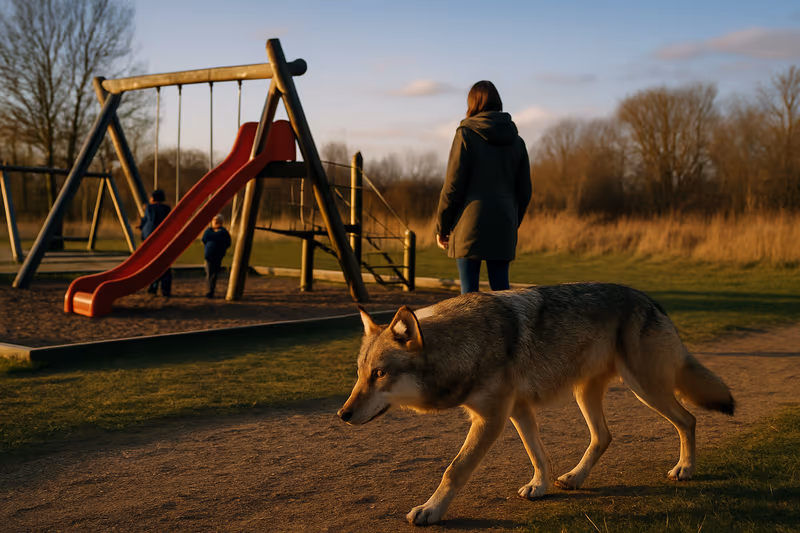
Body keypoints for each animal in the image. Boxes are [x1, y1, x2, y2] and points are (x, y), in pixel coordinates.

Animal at [337, 283, 735, 526]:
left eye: (379, 374)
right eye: (359, 374)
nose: (342, 414)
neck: (463, 346)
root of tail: (651, 300)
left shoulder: (491, 418)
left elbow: (455, 469)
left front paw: (431, 510)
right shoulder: (517, 411)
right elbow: (537, 454)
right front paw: (540, 487)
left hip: (646, 389)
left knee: (688, 420)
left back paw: (685, 469)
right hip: (586, 394)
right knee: (604, 436)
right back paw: (575, 477)